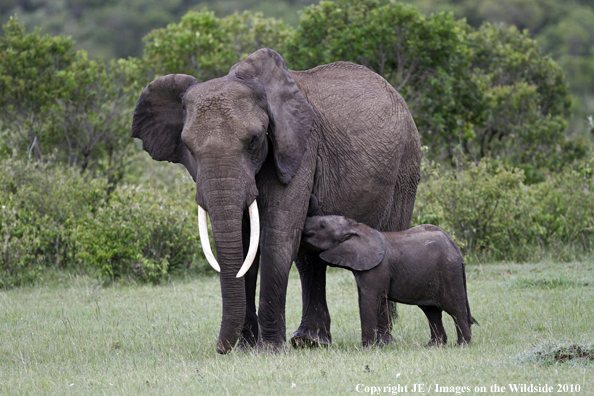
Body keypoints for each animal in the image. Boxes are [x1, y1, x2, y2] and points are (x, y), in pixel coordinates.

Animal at [132, 48, 418, 354]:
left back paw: (381, 341)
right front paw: (246, 348)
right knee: (309, 256)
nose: (220, 348)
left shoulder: (300, 147)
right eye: (188, 147)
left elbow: (277, 236)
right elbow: (245, 244)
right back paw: (310, 341)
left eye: (254, 141)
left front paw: (268, 349)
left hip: (406, 166)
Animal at [300, 215, 476, 348]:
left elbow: (369, 300)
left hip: (449, 272)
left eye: (322, 225)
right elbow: (378, 300)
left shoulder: (377, 269)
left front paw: (366, 348)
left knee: (455, 309)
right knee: (431, 312)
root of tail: (456, 249)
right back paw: (433, 346)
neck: (356, 227)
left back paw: (462, 345)